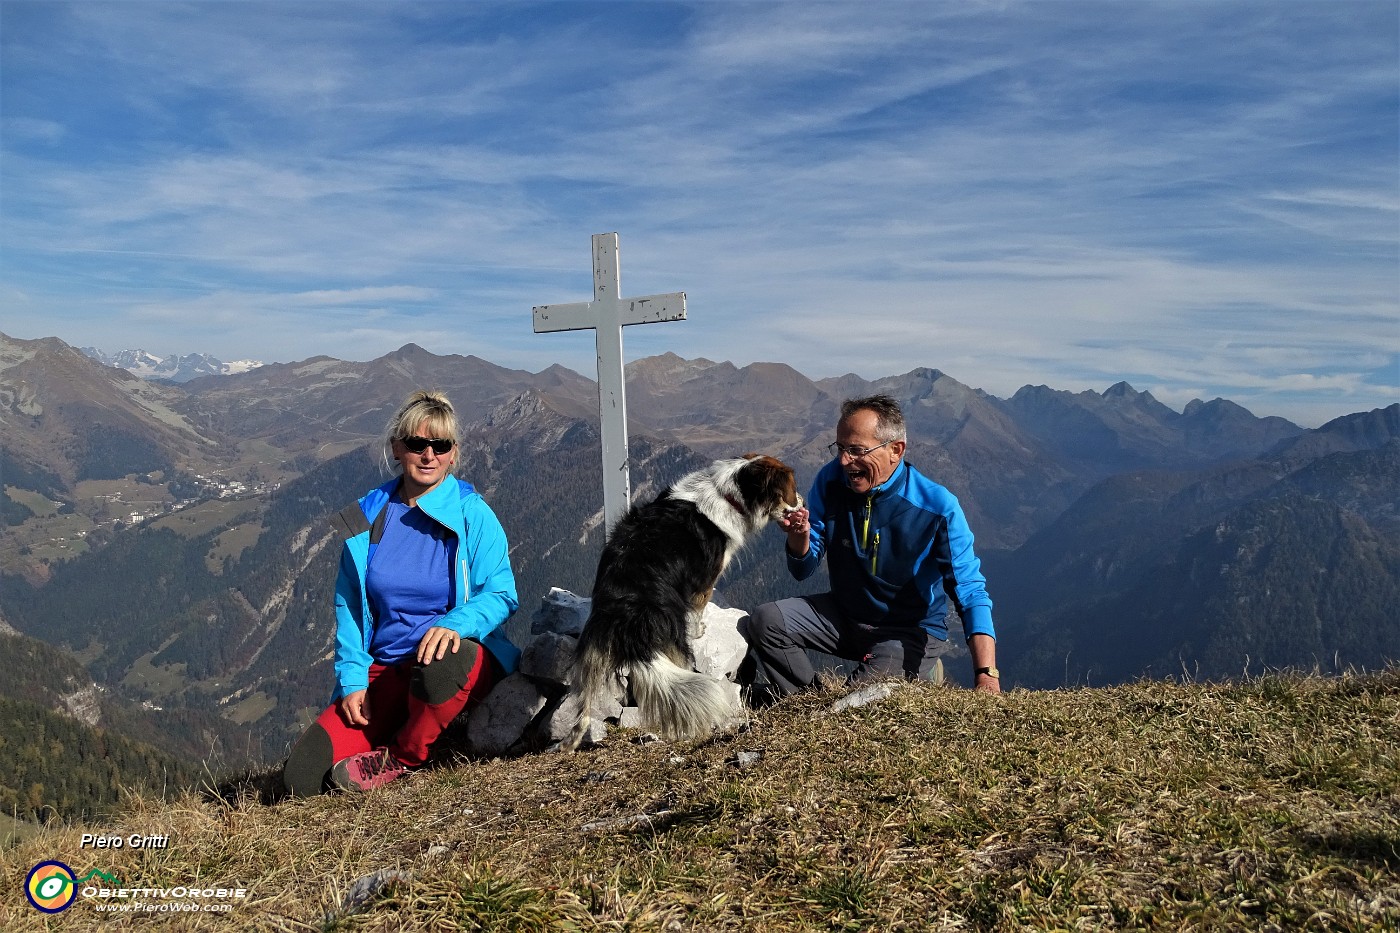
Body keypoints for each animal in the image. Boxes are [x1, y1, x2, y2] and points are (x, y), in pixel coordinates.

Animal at [562, 451, 806, 750]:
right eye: (791, 490)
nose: (802, 502)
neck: (728, 494)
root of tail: (631, 620)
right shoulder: (705, 583)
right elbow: (699, 609)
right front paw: (700, 631)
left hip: (591, 651)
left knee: (584, 705)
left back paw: (570, 742)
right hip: (674, 646)